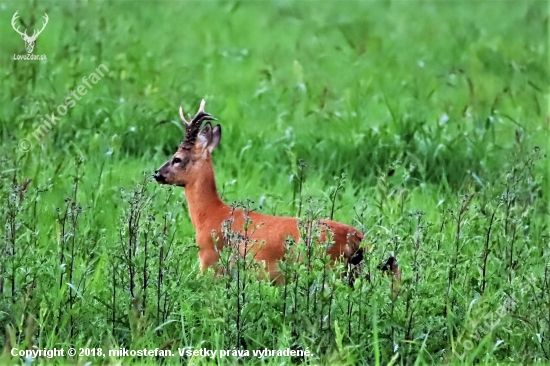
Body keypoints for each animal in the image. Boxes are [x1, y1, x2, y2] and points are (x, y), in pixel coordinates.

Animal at [153, 99, 404, 286]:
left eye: (177, 158)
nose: (157, 173)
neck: (210, 214)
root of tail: (359, 238)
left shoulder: (209, 260)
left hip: (331, 267)